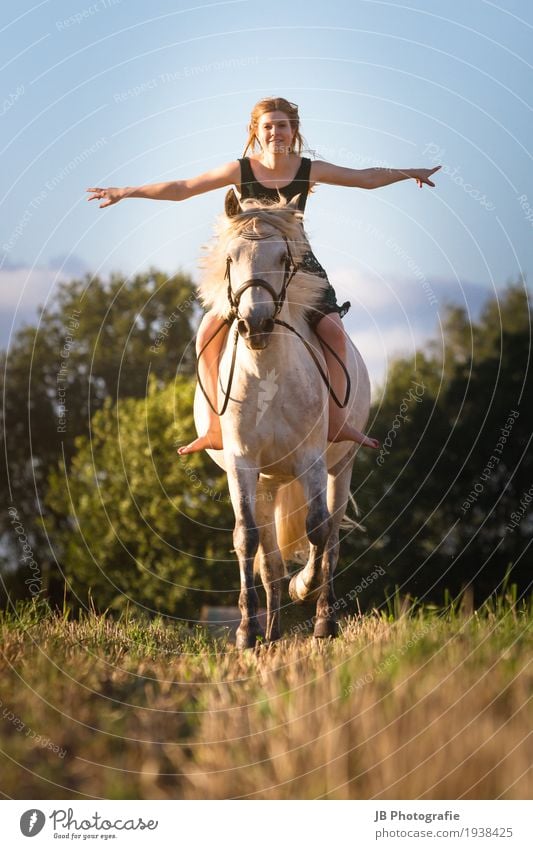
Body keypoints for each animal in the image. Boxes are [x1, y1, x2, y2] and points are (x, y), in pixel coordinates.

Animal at [192, 195, 370, 648]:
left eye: (284, 258)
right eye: (230, 258)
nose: (255, 324)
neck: (265, 370)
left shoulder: (311, 460)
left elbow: (318, 531)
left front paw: (310, 602)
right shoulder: (242, 464)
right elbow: (246, 538)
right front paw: (247, 632)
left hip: (341, 467)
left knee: (332, 541)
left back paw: (318, 611)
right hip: (267, 483)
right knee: (269, 559)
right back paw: (271, 632)